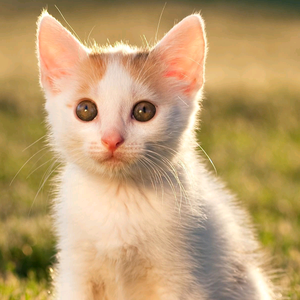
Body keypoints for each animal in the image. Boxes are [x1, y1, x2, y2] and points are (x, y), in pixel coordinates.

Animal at [37, 9, 278, 300]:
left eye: (144, 111)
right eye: (85, 110)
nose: (111, 139)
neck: (118, 197)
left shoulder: (184, 277)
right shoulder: (76, 270)